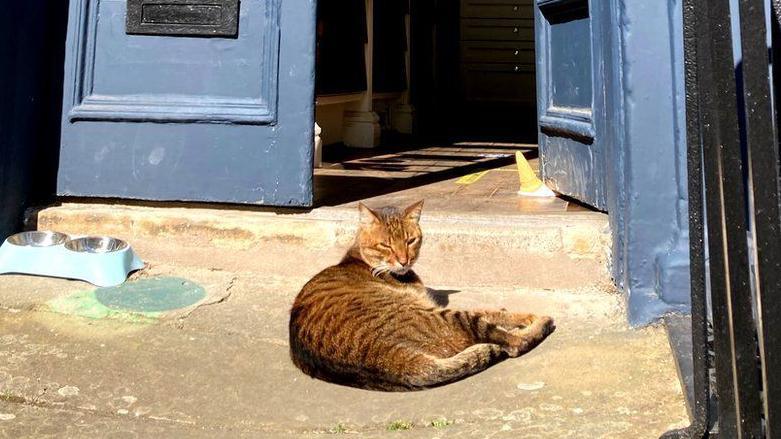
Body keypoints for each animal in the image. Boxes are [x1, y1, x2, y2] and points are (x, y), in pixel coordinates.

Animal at [288, 200, 556, 392]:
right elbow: (492, 315)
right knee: (514, 343)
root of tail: (393, 365)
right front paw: (519, 315)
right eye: (386, 245)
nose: (403, 260)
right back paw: (541, 322)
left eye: (410, 240)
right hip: (446, 317)